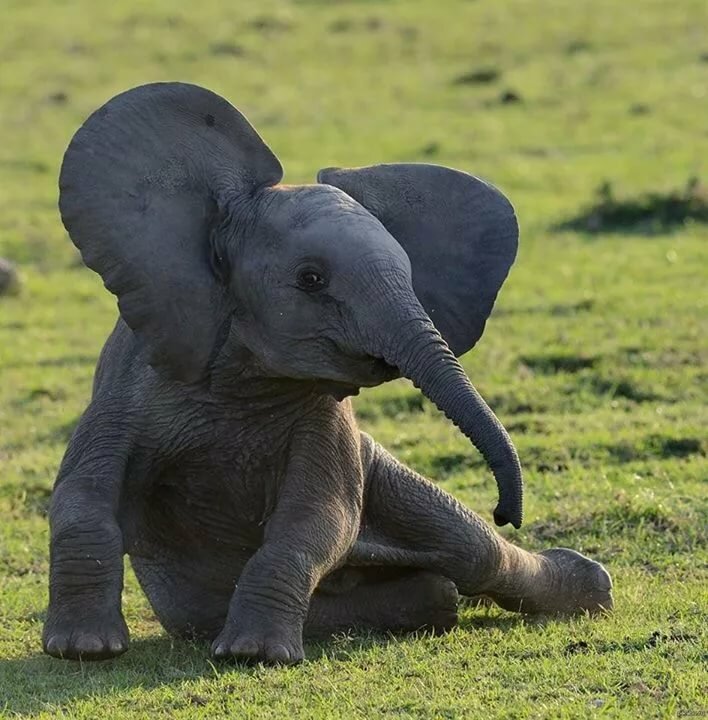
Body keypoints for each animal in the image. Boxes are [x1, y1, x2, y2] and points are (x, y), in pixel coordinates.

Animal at [43, 82, 612, 665]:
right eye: (311, 279)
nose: (505, 511)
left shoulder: (326, 417)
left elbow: (317, 519)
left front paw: (254, 656)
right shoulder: (130, 384)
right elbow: (81, 498)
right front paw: (84, 649)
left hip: (380, 470)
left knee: (472, 550)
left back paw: (591, 590)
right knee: (437, 587)